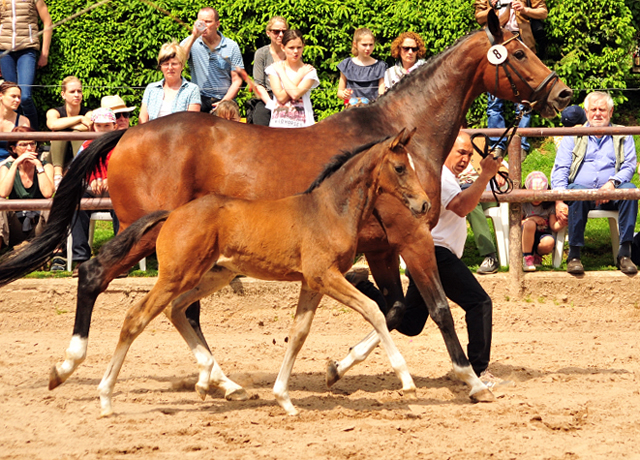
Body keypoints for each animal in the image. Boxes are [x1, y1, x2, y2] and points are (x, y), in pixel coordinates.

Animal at [96, 129, 436, 416]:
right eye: (400, 168)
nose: (424, 204)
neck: (329, 210)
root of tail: (172, 214)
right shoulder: (325, 276)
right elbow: (373, 310)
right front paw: (406, 381)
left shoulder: (312, 283)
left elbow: (298, 334)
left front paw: (284, 398)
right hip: (177, 275)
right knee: (136, 317)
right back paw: (106, 398)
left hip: (212, 274)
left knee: (175, 309)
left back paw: (206, 381)